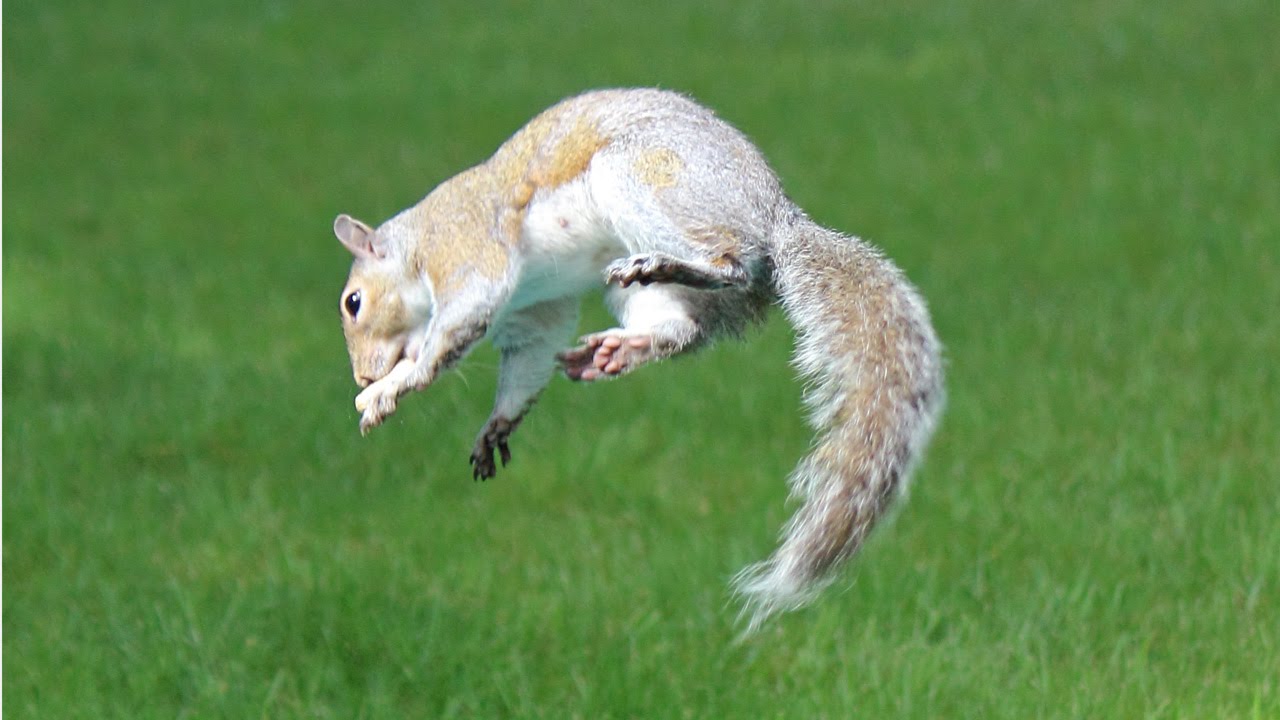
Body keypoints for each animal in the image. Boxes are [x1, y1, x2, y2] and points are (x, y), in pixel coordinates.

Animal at [333, 88, 944, 631]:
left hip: (643, 178)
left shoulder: (467, 250)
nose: (362, 372)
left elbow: (457, 322)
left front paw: (389, 389)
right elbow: (529, 358)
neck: (417, 244)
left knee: (734, 262)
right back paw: (623, 349)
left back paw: (677, 265)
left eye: (353, 302)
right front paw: (496, 424)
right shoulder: (535, 311)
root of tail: (775, 218)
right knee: (682, 329)